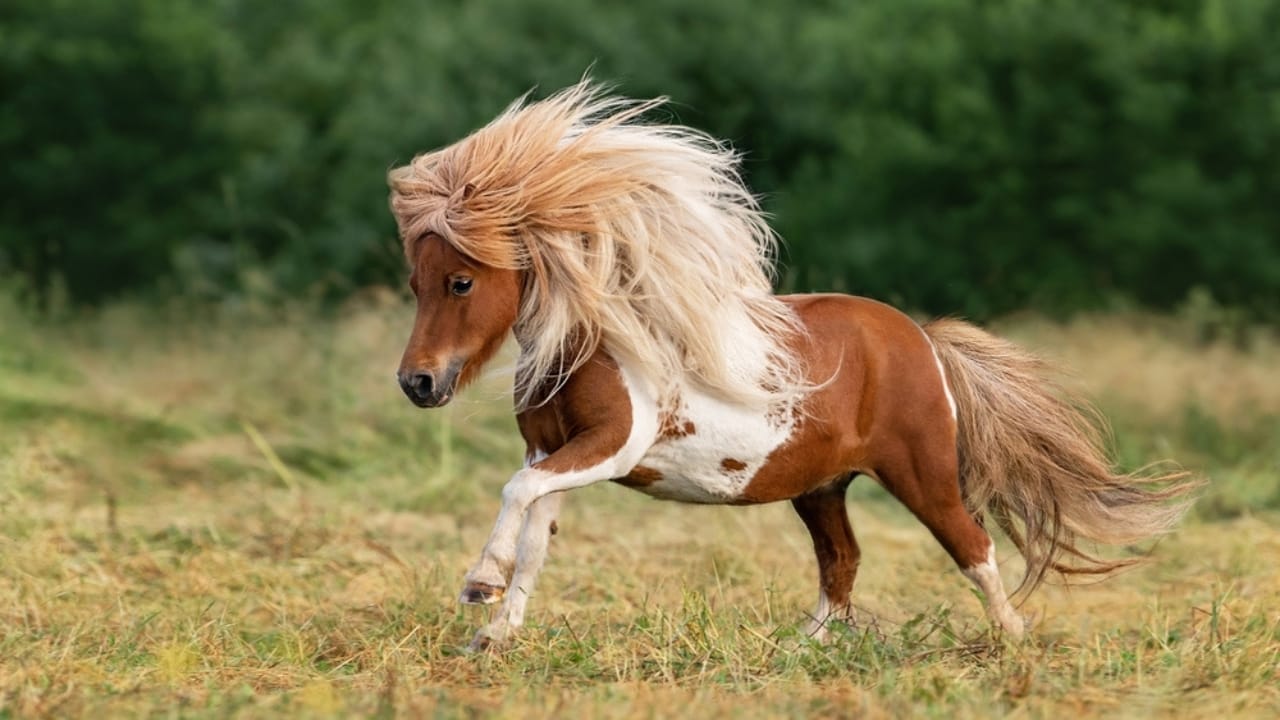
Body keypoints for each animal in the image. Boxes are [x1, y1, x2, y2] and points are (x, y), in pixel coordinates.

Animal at [387, 81, 1196, 651]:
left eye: (460, 282)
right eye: (415, 282)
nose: (417, 383)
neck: (594, 343)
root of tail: (922, 339)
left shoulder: (609, 446)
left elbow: (516, 495)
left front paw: (477, 589)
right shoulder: (553, 451)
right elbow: (533, 534)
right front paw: (494, 631)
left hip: (922, 473)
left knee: (974, 547)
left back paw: (1014, 642)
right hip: (822, 487)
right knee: (842, 564)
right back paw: (795, 649)